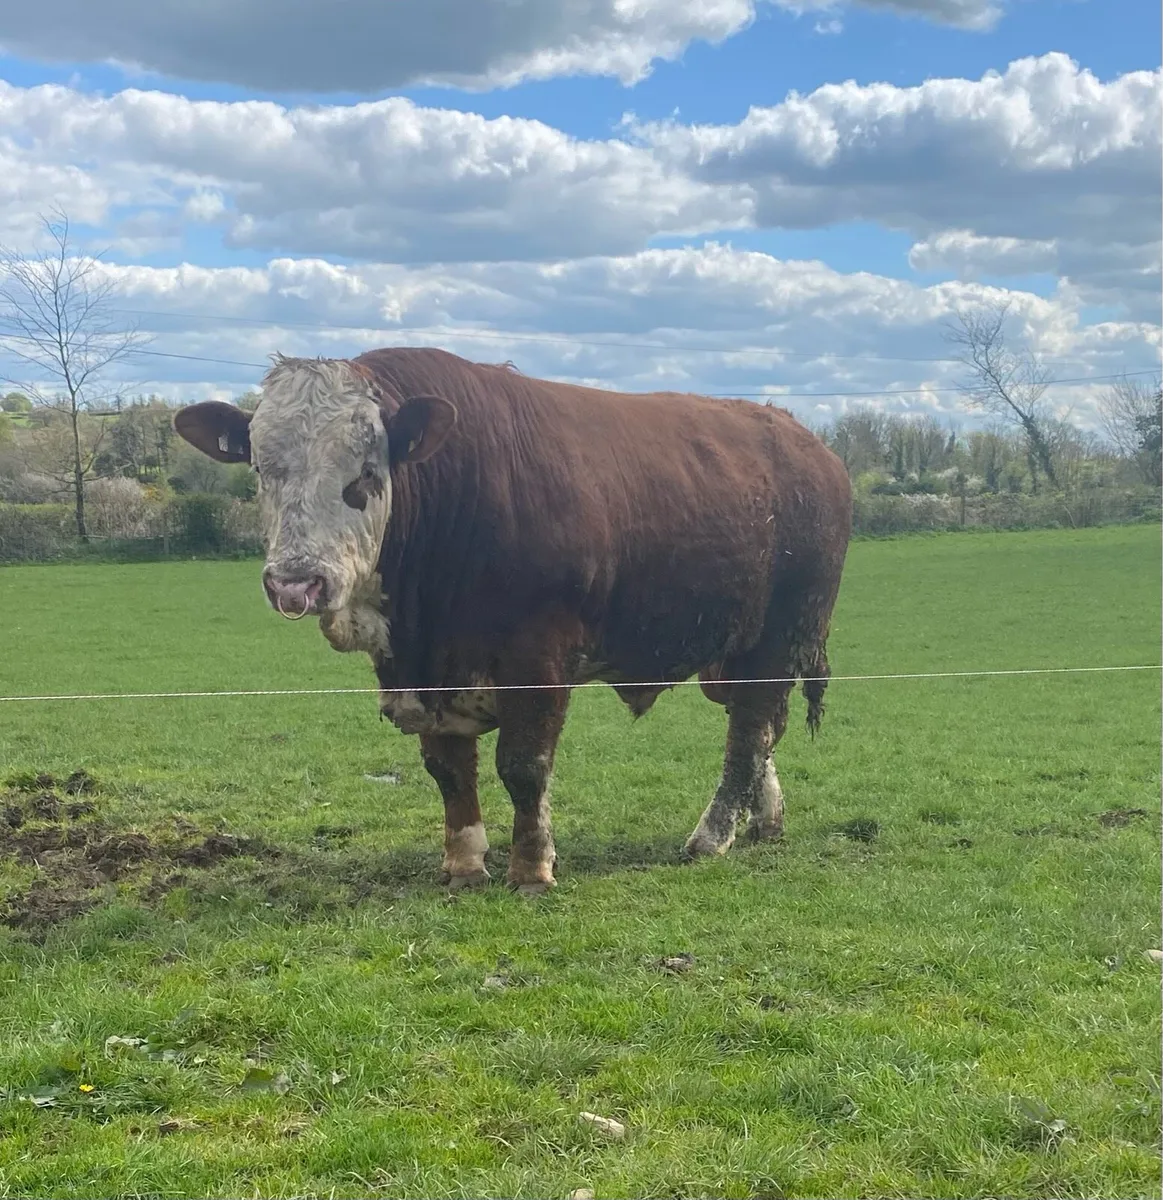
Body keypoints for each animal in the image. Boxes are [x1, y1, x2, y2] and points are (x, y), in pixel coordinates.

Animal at [173, 347, 852, 896]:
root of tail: (810, 444)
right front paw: (464, 865)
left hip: (777, 639)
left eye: (365, 473)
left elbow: (523, 767)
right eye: (261, 470)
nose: (295, 581)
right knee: (761, 728)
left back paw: (712, 836)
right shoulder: (427, 675)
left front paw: (531, 869)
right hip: (726, 654)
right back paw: (763, 820)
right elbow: (449, 771)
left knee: (749, 731)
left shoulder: (538, 661)